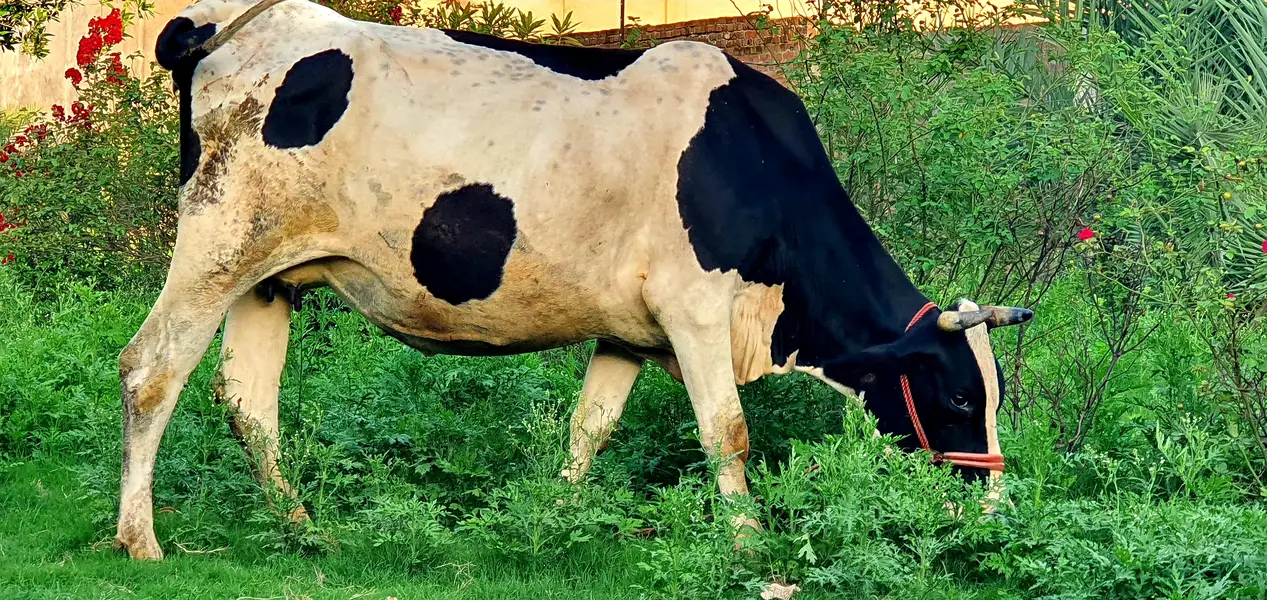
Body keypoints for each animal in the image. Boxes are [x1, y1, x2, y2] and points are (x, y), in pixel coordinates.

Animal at [114, 0, 1033, 560]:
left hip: (269, 275)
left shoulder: (629, 330)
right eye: (959, 395)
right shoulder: (694, 309)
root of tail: (226, 25)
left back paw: (302, 526)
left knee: (248, 401)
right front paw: (748, 545)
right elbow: (726, 433)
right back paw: (140, 540)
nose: (992, 511)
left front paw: (554, 517)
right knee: (151, 369)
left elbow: (589, 429)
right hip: (216, 244)